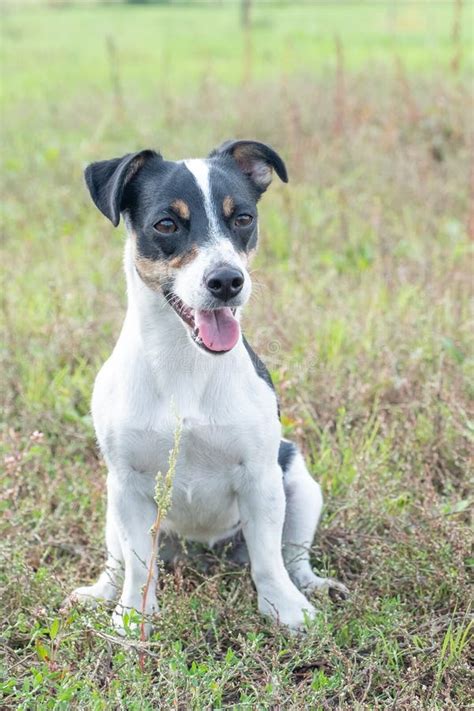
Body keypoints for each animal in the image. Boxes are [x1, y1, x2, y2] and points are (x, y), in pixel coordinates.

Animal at [68, 139, 346, 636]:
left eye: (243, 218)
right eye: (166, 224)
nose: (227, 281)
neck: (186, 362)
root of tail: (204, 549)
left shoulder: (260, 479)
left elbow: (269, 561)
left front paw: (286, 610)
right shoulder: (128, 485)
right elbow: (138, 566)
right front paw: (132, 618)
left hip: (300, 486)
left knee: (291, 556)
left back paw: (313, 586)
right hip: (112, 505)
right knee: (117, 562)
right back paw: (99, 592)